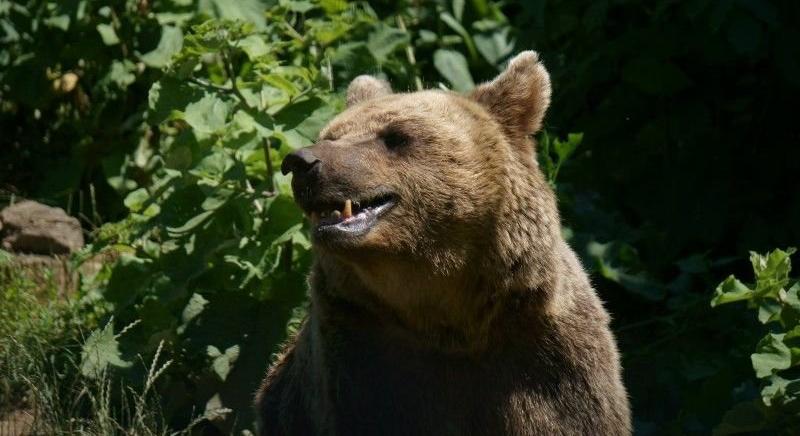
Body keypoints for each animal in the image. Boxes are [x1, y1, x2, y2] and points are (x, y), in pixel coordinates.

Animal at [256, 52, 632, 436]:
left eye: (394, 136)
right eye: (329, 135)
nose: (301, 162)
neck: (448, 318)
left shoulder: (547, 360)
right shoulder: (357, 358)